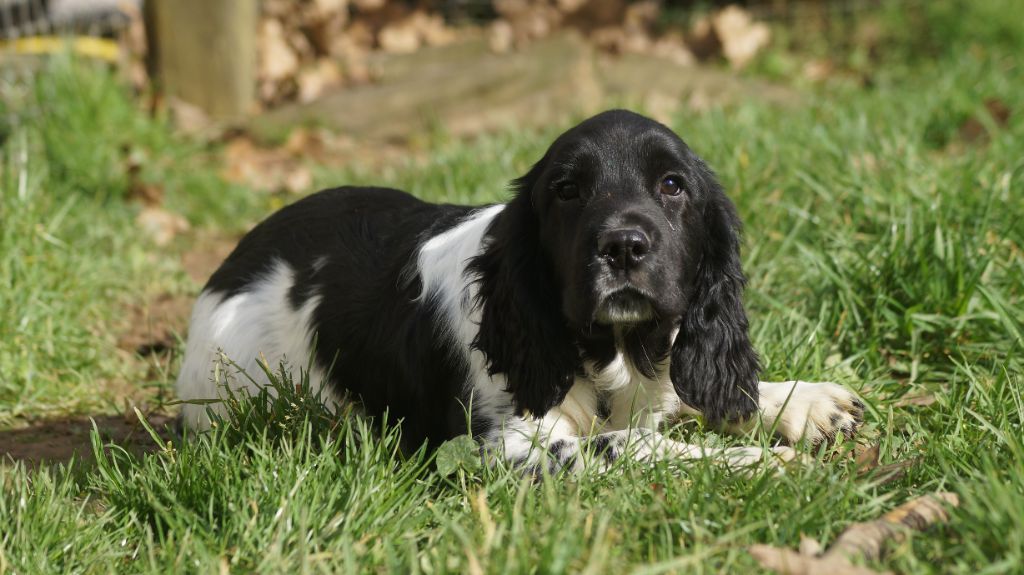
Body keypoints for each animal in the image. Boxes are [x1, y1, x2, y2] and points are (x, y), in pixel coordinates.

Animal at [178, 108, 864, 470]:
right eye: (567, 189)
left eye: (673, 186)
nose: (623, 246)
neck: (610, 354)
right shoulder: (509, 443)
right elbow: (632, 445)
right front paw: (762, 464)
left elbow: (702, 393)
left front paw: (805, 403)